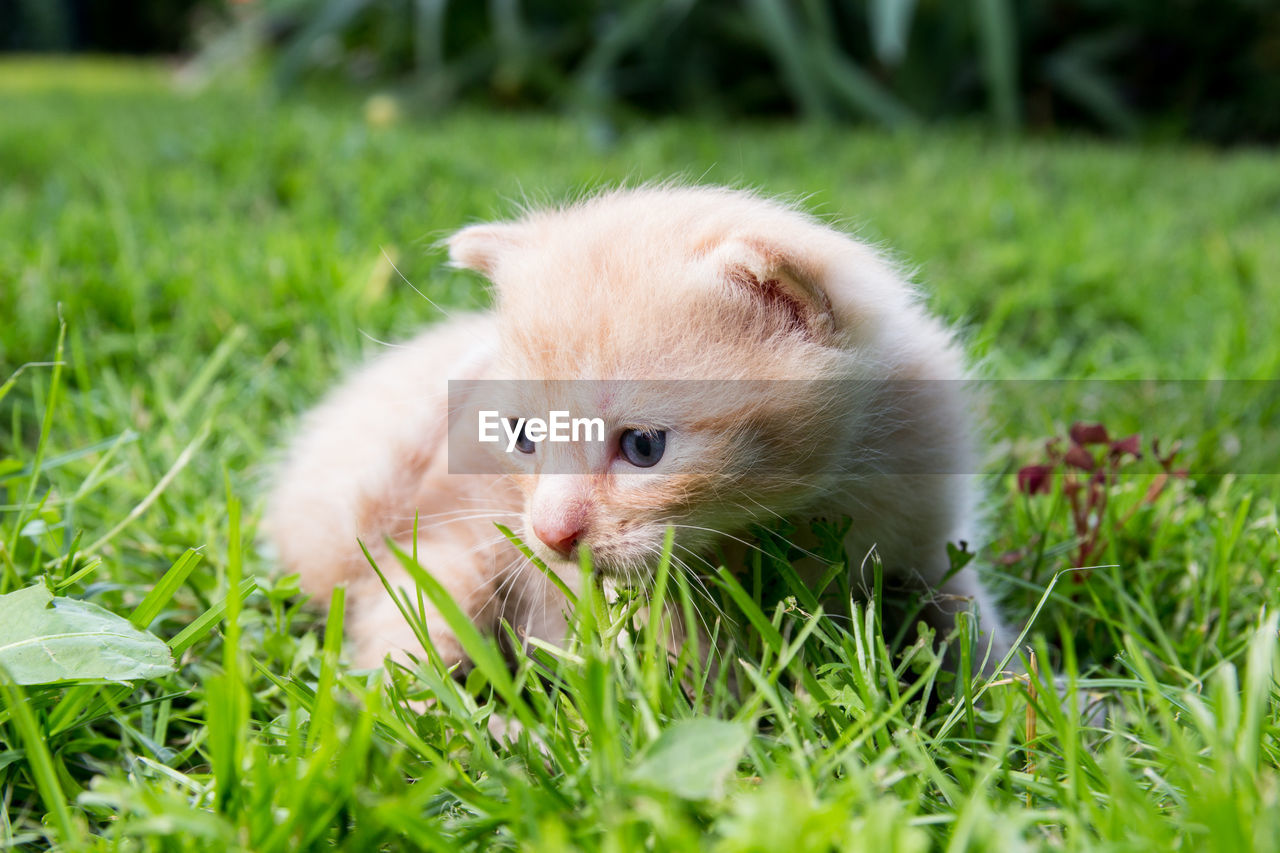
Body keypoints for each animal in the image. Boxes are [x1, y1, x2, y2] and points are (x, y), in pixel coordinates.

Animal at [264, 184, 1013, 671]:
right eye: (525, 437)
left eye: (643, 447)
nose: (552, 534)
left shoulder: (929, 538)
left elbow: (974, 630)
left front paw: (1027, 705)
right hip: (442, 553)